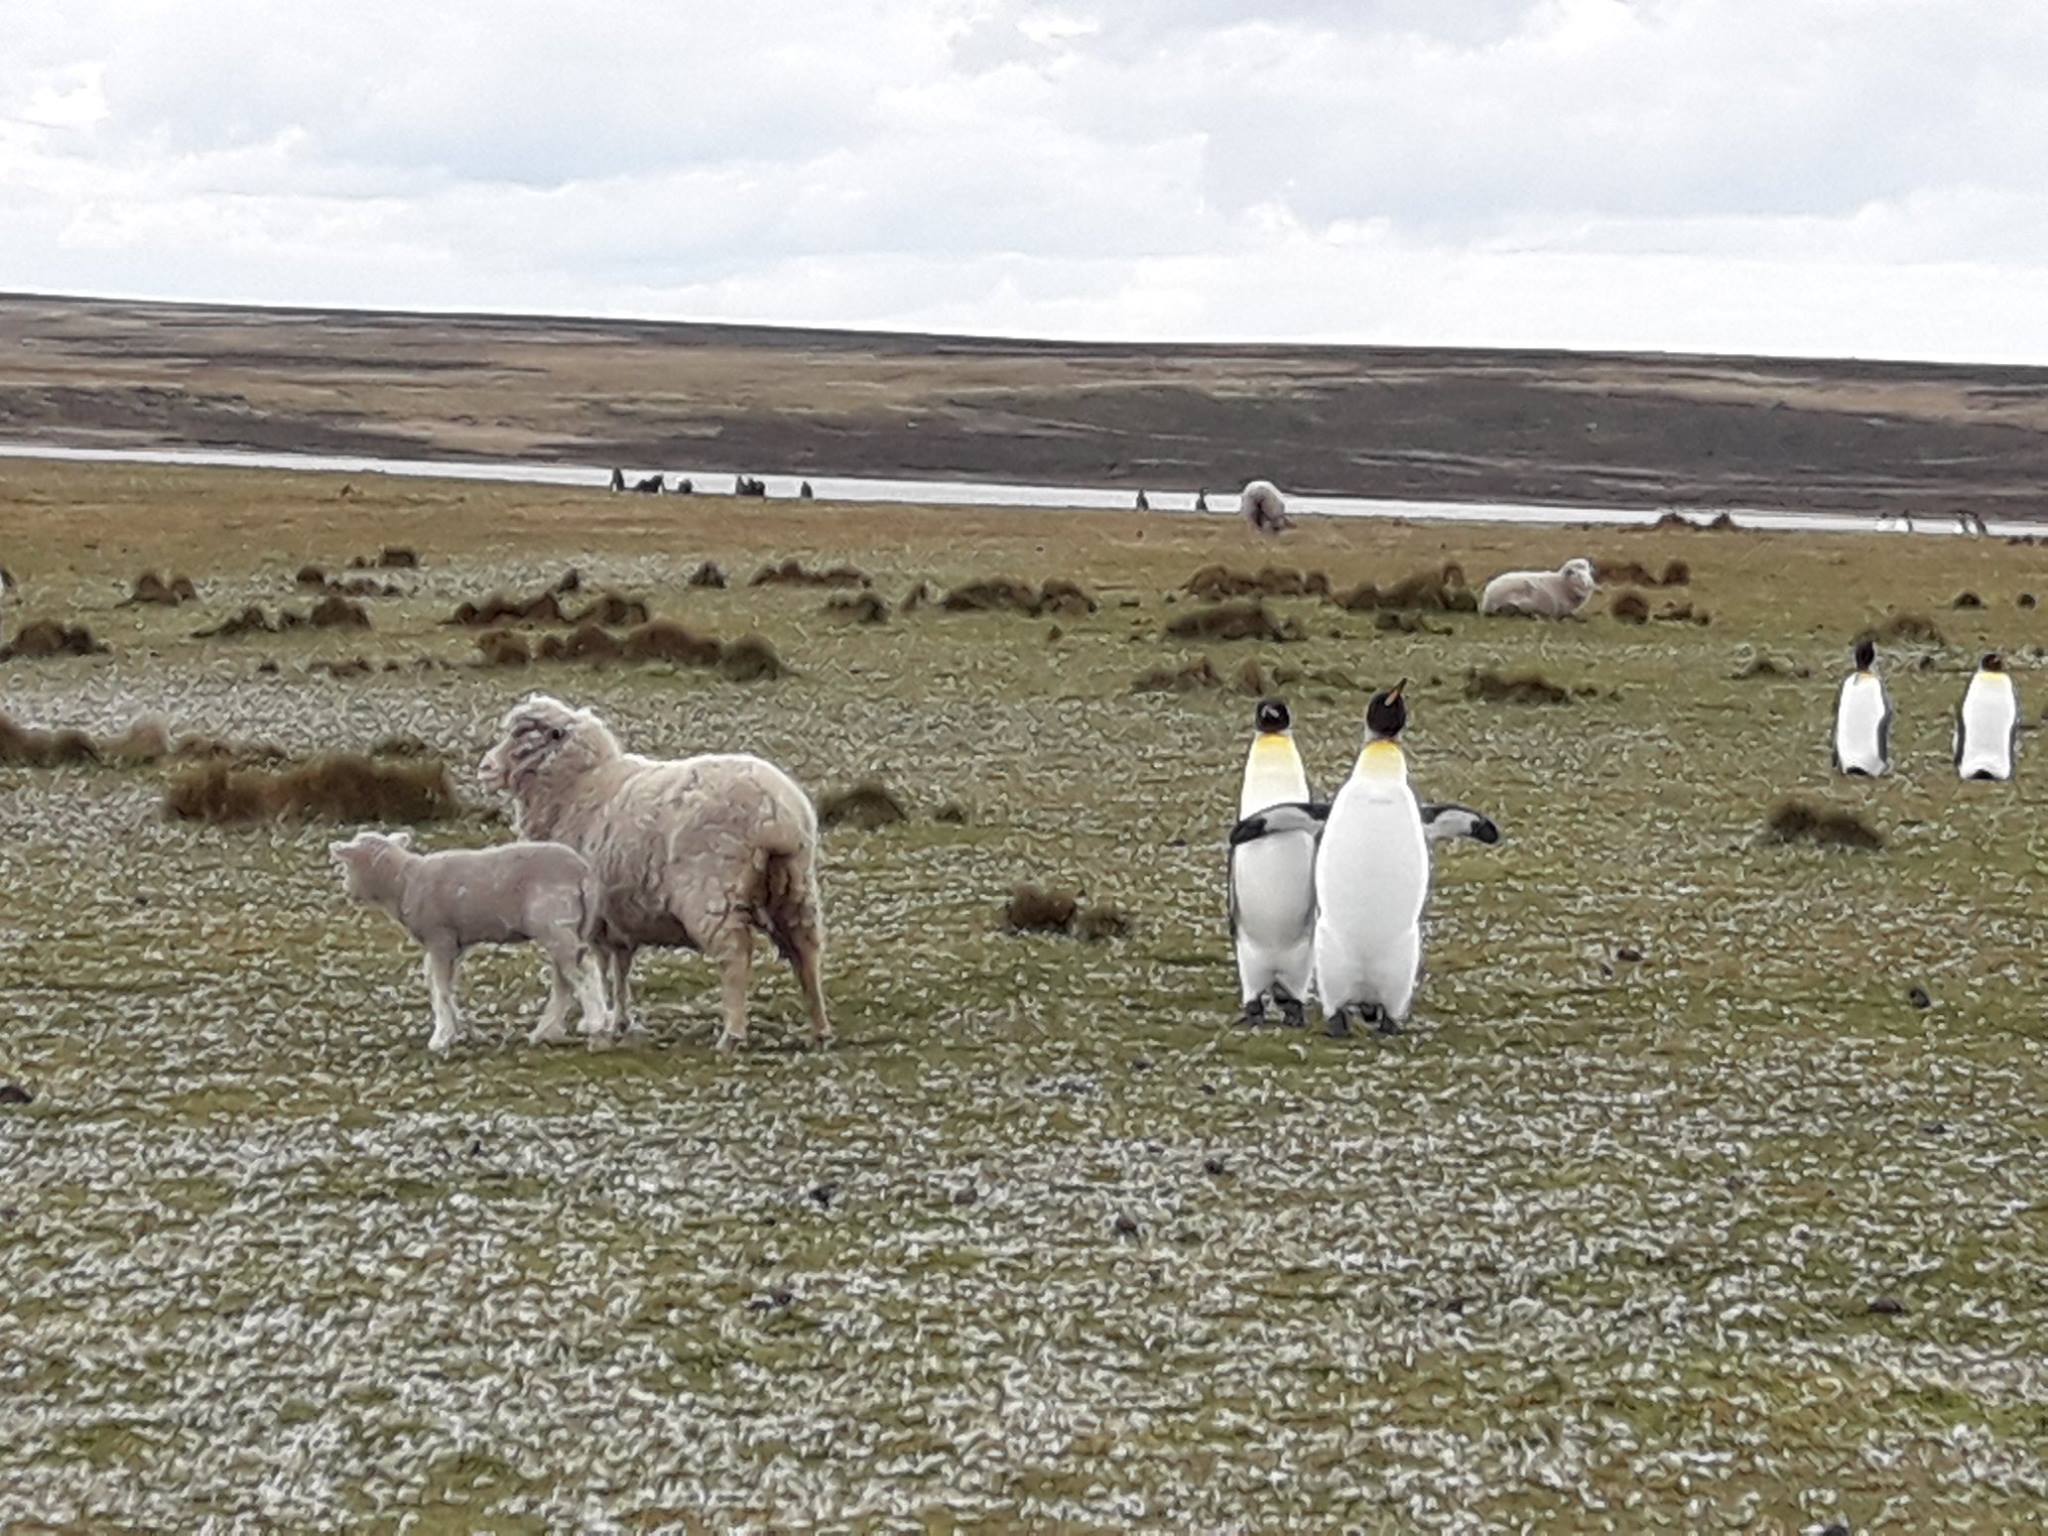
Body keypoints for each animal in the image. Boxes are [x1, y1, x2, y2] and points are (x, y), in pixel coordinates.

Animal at [328, 829, 610, 1054]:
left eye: (348, 865)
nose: (346, 890)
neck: (403, 883)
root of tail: (582, 871)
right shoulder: (456, 943)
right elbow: (439, 983)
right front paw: (454, 1028)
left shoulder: (439, 937)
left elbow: (440, 987)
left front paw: (440, 1037)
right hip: (571, 926)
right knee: (569, 975)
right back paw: (549, 1030)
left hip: (554, 923)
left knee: (581, 969)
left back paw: (595, 1022)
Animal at [477, 694, 831, 1051]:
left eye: (521, 736)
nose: (485, 768)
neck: (577, 787)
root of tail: (776, 813)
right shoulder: (616, 915)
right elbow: (620, 967)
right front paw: (619, 1020)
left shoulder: (591, 915)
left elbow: (601, 967)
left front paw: (603, 1021)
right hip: (793, 886)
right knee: (806, 952)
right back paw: (820, 1029)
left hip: (712, 894)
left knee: (734, 957)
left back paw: (731, 1034)